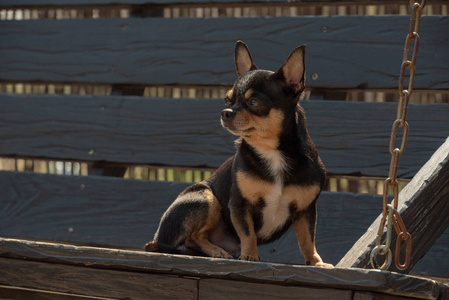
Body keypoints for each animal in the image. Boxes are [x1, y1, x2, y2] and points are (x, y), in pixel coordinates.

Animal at [145, 40, 330, 268]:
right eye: (227, 100)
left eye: (254, 102)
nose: (226, 112)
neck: (271, 151)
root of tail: (158, 239)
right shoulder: (240, 204)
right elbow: (247, 233)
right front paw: (249, 255)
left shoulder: (306, 210)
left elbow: (307, 239)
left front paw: (316, 262)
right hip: (204, 198)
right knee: (193, 237)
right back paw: (217, 251)